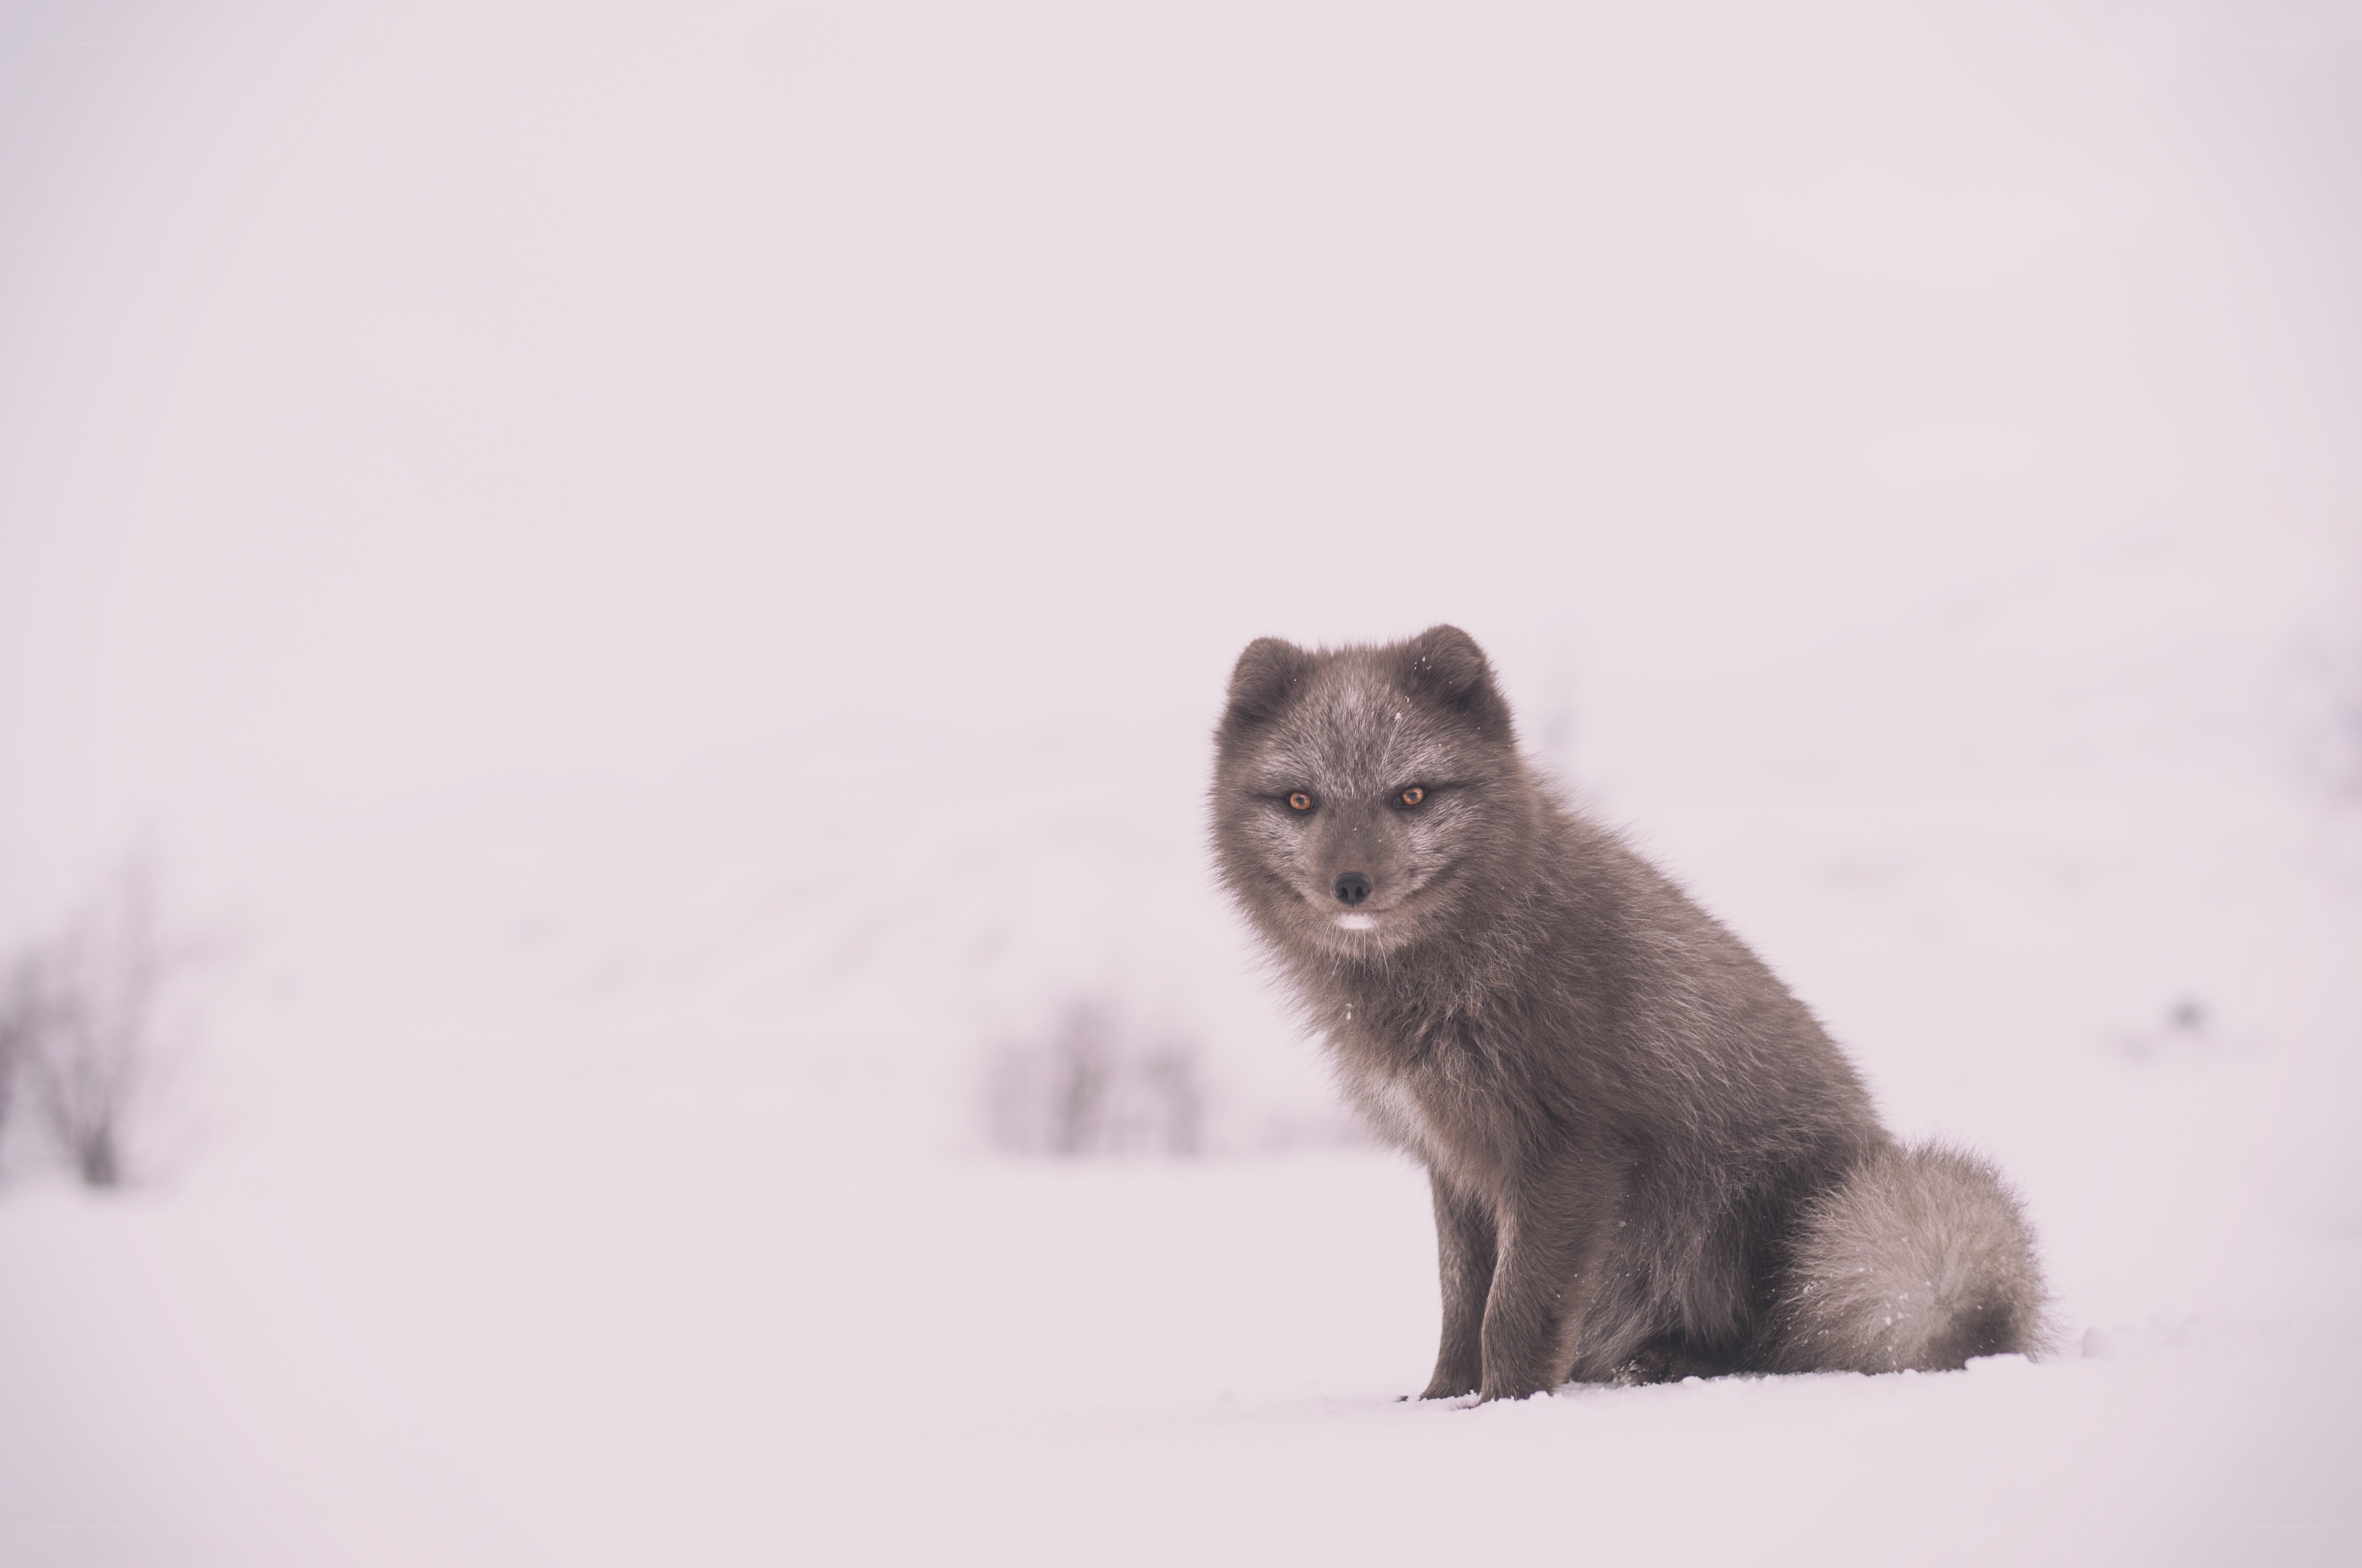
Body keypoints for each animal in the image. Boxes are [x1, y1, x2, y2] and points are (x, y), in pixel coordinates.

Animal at [1210, 624, 2050, 1401]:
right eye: (1300, 801)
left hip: (1755, 1212)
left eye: (1411, 795)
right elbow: (1461, 1302)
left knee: (1779, 1340)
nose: (1351, 885)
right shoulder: (1456, 1162)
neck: (1479, 956)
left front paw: (1504, 1405)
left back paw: (1674, 1361)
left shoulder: (1571, 1150)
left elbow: (1513, 1309)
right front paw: (1443, 1397)